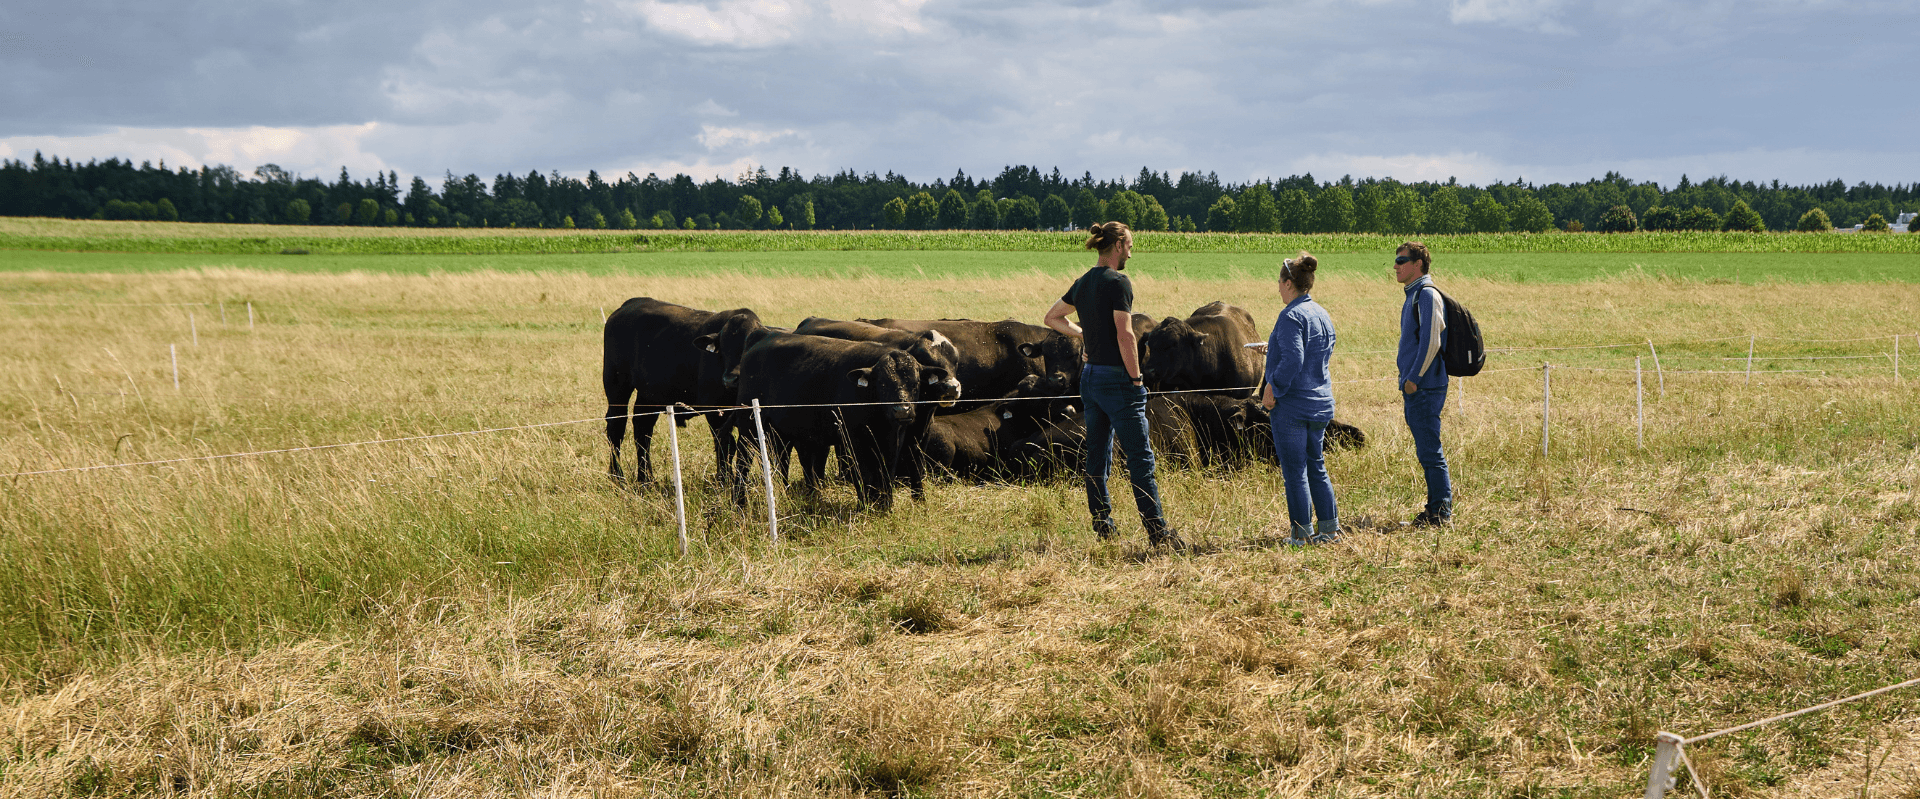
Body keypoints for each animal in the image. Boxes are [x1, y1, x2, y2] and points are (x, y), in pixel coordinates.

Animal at [733, 332, 952, 507]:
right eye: (882, 383)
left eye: (915, 383)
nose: (902, 410)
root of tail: (763, 338)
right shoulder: (853, 439)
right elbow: (863, 473)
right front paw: (865, 505)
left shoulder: (894, 440)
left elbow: (886, 472)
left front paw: (886, 506)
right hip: (748, 425)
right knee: (743, 460)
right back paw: (739, 501)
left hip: (781, 432)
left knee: (781, 461)